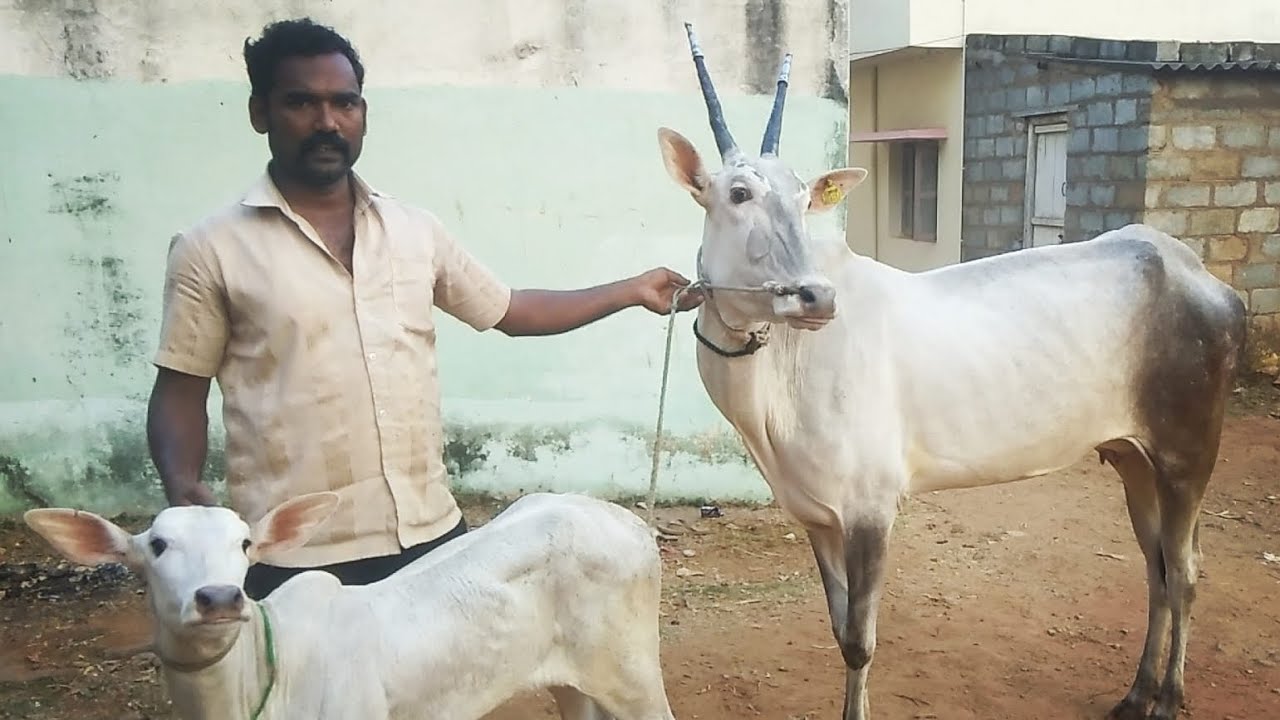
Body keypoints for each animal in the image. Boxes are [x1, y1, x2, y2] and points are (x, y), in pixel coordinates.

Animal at [654, 22, 1247, 720]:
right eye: (739, 193)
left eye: (804, 200)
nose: (815, 298)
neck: (784, 373)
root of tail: (1197, 275)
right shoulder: (818, 518)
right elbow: (837, 629)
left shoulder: (872, 510)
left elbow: (859, 642)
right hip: (1133, 457)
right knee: (1154, 568)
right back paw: (1136, 694)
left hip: (1187, 454)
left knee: (1183, 571)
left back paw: (1170, 696)